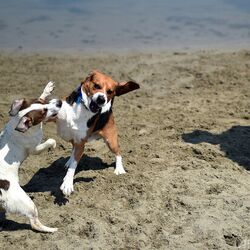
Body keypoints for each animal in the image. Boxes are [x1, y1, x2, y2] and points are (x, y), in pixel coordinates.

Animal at [0, 83, 62, 233]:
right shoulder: (35, 149)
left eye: (42, 103)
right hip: (27, 203)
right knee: (34, 223)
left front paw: (47, 88)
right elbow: (50, 141)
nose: (59, 102)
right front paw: (53, 145)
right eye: (44, 112)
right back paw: (51, 229)